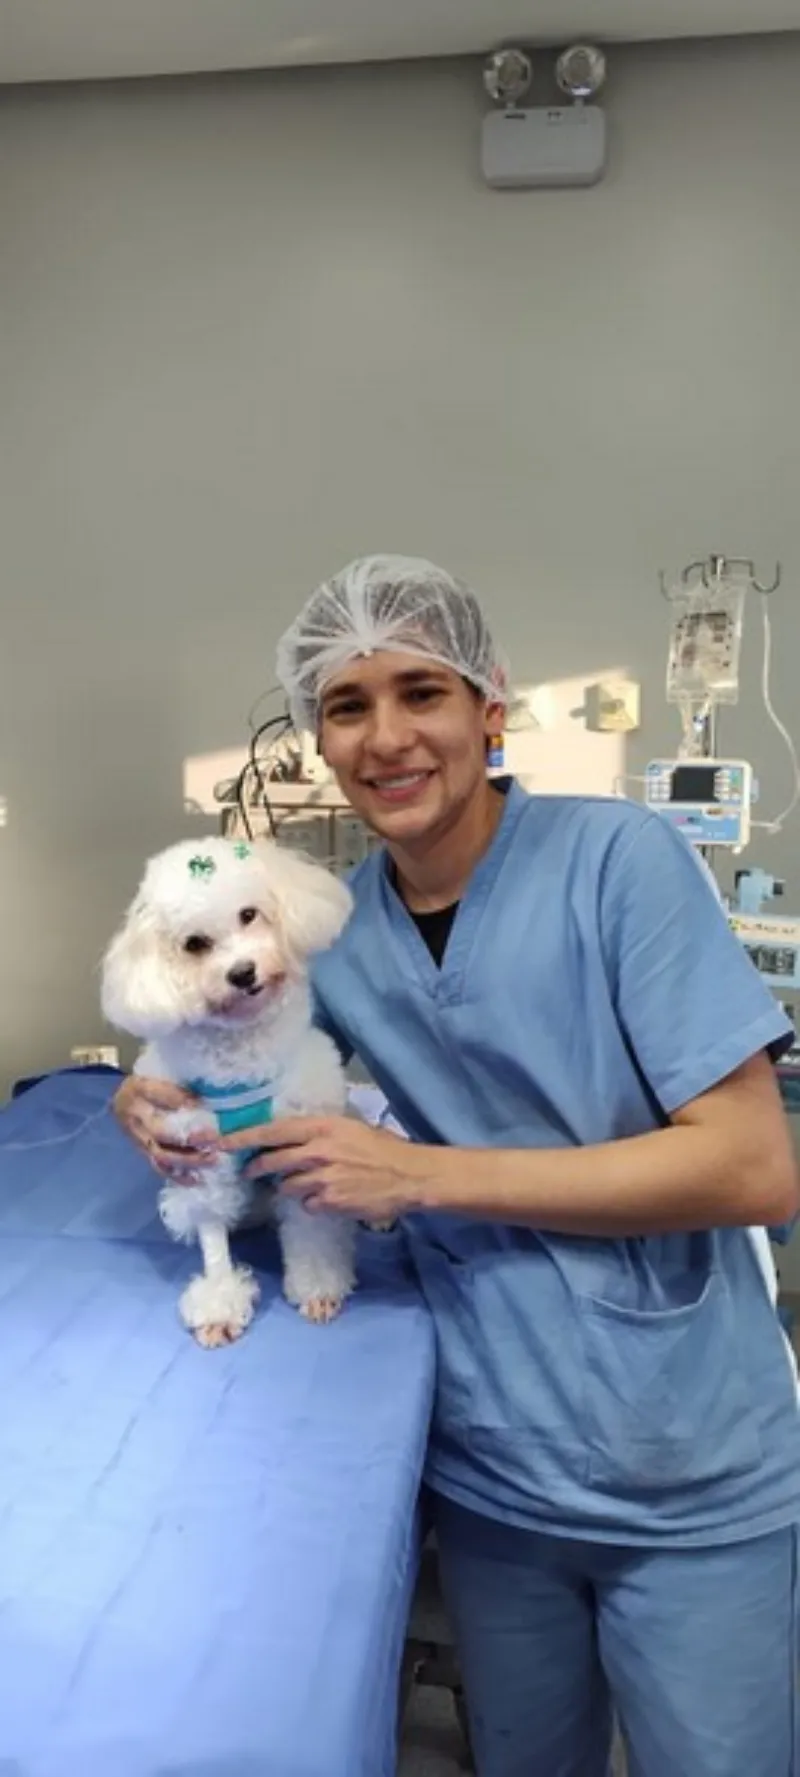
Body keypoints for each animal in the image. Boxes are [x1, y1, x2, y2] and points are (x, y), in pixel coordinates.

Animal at [101, 835, 357, 1347]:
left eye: (248, 914)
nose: (242, 973)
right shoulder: (201, 1161)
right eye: (195, 944)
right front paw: (220, 1302)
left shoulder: (302, 1148)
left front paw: (319, 1285)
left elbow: (312, 1230)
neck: (240, 1054)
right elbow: (213, 1239)